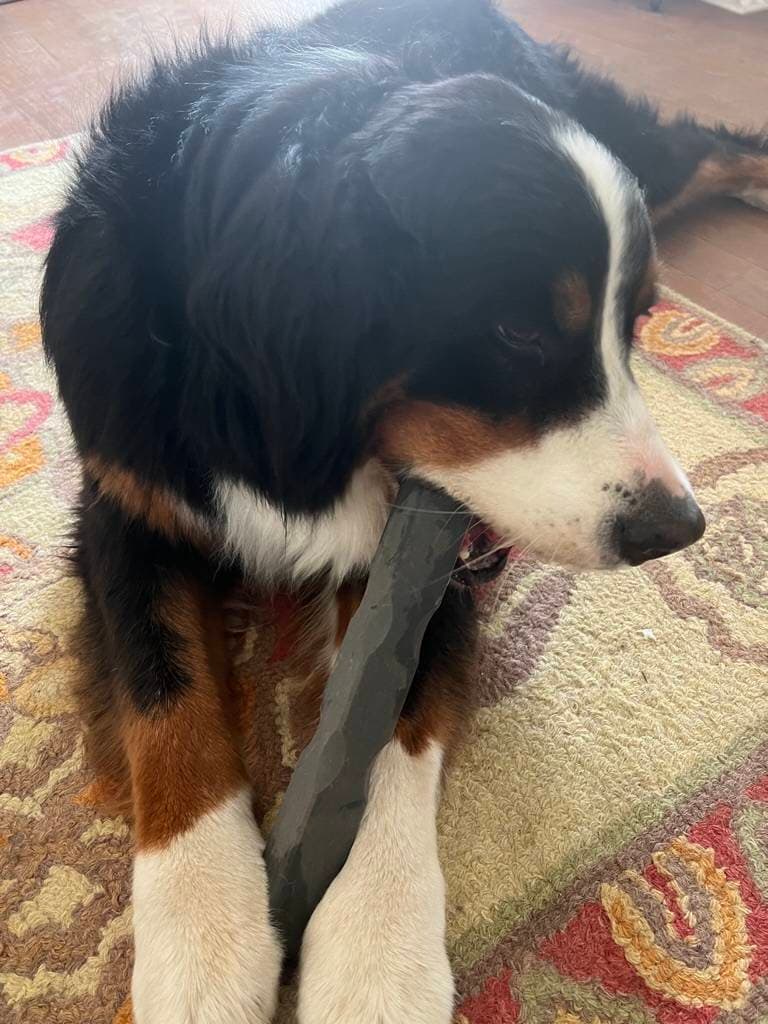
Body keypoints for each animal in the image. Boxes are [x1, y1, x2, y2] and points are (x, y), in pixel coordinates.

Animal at [43, 0, 768, 1019]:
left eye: (639, 328)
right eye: (517, 331)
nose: (677, 530)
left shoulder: (433, 547)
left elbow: (389, 721)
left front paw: (375, 953)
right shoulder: (126, 507)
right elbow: (166, 699)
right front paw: (203, 939)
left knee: (709, 146)